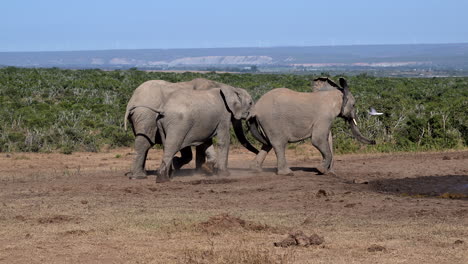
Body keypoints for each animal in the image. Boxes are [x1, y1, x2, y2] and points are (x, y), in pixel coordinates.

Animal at [123, 77, 256, 178]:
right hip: (146, 116)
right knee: (144, 143)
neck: (227, 87)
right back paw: (139, 176)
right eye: (250, 103)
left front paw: (201, 170)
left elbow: (202, 142)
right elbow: (218, 141)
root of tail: (132, 100)